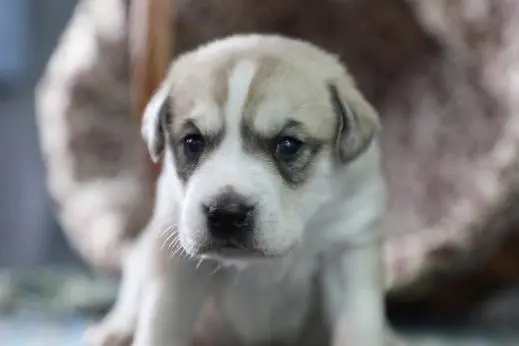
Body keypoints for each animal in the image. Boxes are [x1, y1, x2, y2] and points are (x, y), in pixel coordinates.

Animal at [88, 34, 390, 346]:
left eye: (288, 145)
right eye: (192, 142)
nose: (226, 214)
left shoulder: (348, 250)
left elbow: (359, 327)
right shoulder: (175, 263)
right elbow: (160, 326)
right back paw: (113, 330)